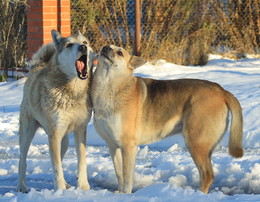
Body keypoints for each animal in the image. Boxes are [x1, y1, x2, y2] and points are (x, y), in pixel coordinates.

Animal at [17, 30, 94, 193]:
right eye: (69, 45)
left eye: (85, 42)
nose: (82, 48)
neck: (73, 91)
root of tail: (34, 70)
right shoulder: (54, 134)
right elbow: (57, 167)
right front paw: (60, 190)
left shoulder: (80, 129)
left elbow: (81, 161)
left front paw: (83, 186)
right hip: (27, 134)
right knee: (22, 160)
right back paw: (21, 186)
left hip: (64, 141)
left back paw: (67, 184)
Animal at [90, 45, 243, 193]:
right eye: (107, 46)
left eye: (120, 53)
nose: (105, 48)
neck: (110, 85)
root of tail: (221, 90)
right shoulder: (112, 145)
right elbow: (119, 174)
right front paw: (119, 193)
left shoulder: (128, 145)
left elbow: (127, 177)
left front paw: (126, 195)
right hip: (204, 146)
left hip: (195, 142)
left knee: (207, 175)